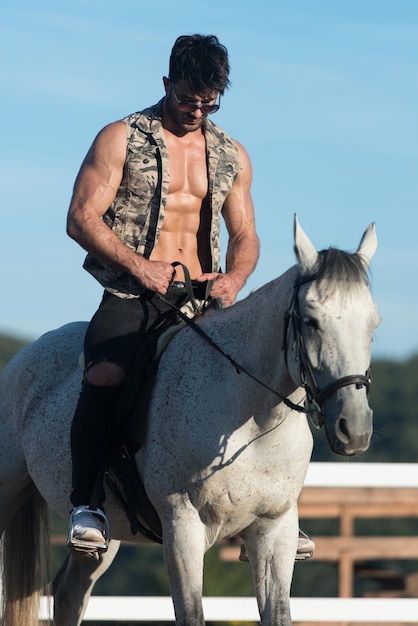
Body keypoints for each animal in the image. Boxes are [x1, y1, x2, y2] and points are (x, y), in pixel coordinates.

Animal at [0, 217, 378, 620]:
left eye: (373, 323)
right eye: (311, 321)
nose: (354, 428)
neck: (253, 421)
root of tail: (24, 357)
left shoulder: (274, 532)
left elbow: (278, 614)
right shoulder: (183, 526)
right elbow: (192, 613)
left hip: (108, 536)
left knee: (69, 593)